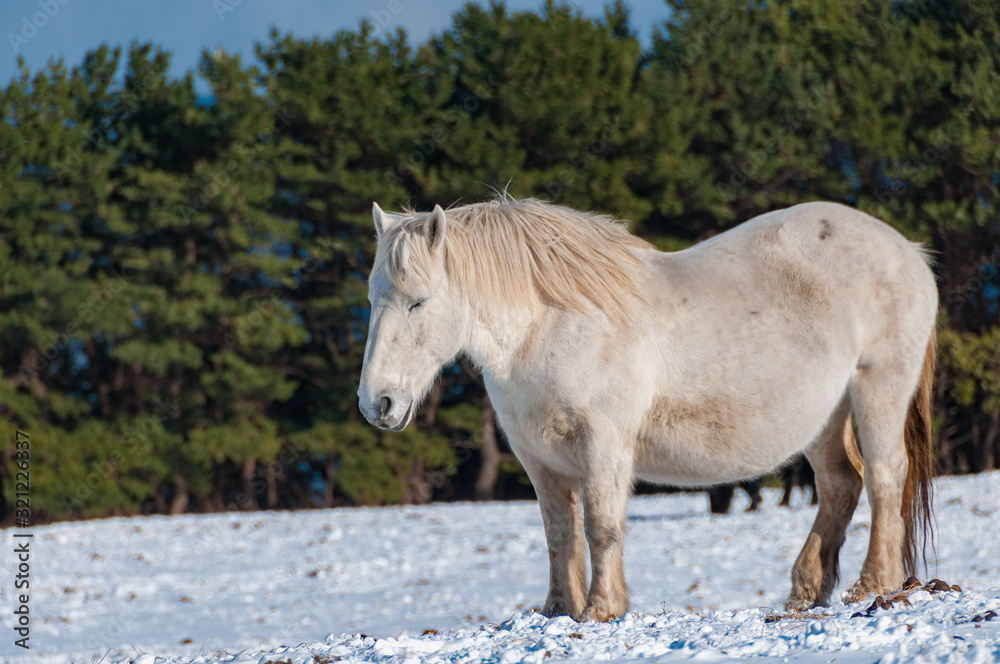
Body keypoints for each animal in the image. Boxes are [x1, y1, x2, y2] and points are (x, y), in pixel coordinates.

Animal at [360, 197, 936, 624]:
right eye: (372, 299)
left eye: (418, 301)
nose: (376, 403)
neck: (550, 329)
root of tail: (908, 251)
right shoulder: (539, 459)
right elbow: (558, 533)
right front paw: (557, 611)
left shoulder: (603, 447)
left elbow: (601, 526)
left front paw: (600, 610)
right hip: (824, 418)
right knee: (840, 484)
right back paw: (806, 591)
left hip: (877, 390)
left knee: (885, 476)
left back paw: (872, 585)